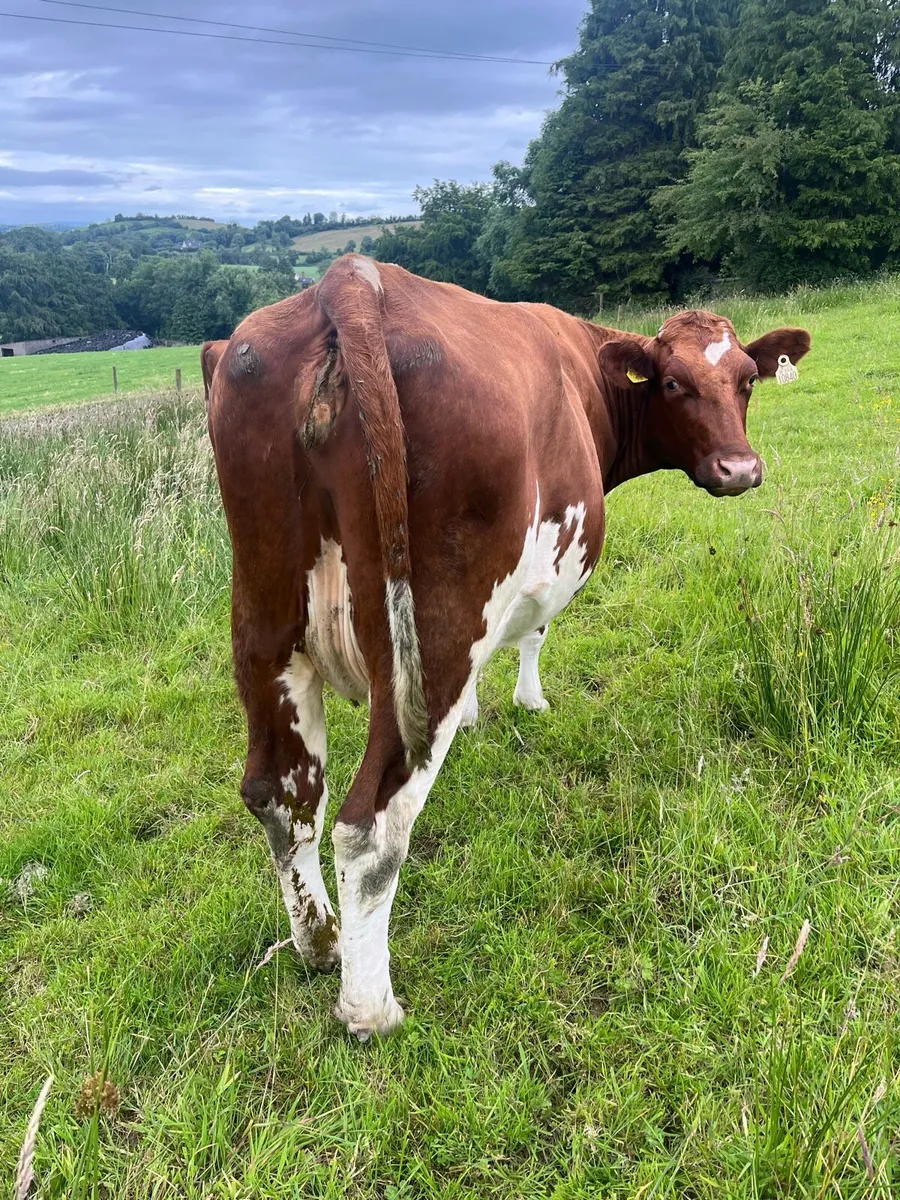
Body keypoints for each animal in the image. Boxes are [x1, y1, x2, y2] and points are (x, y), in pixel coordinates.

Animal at [206, 254, 810, 1040]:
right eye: (674, 383)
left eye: (746, 379)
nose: (740, 469)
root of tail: (348, 280)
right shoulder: (547, 560)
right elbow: (534, 631)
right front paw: (528, 702)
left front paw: (477, 714)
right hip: (430, 628)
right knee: (370, 826)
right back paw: (371, 1007)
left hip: (265, 620)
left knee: (280, 793)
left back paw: (320, 942)